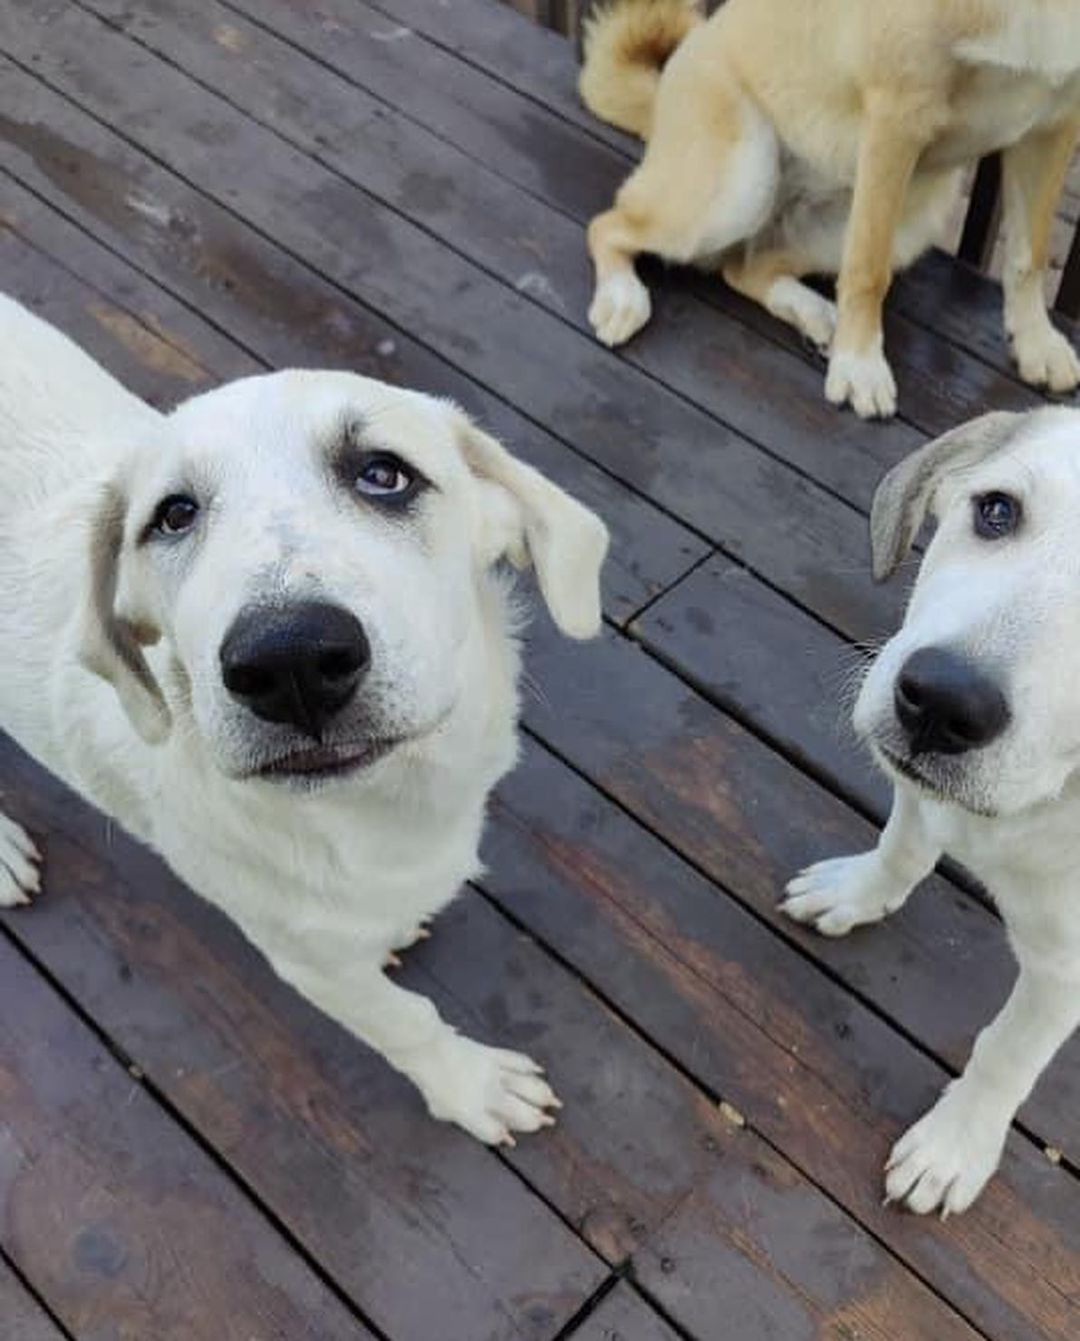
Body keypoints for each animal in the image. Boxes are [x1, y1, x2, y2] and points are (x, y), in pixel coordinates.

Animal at [0, 299, 606, 1147]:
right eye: (173, 516)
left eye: (384, 473)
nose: (289, 662)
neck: (373, 809)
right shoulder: (307, 960)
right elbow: (406, 1022)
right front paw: (473, 1085)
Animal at [584, 0, 1080, 415]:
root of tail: (661, 96)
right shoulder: (898, 119)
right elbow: (868, 271)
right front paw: (859, 364)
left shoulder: (1054, 125)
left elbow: (1029, 256)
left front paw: (1036, 342)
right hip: (733, 189)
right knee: (606, 225)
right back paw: (621, 297)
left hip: (907, 218)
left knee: (745, 269)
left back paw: (816, 314)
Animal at [778, 402, 1078, 1212]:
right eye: (997, 510)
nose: (943, 703)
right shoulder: (920, 796)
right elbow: (903, 845)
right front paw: (858, 893)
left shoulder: (1066, 970)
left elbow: (1005, 1053)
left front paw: (955, 1144)